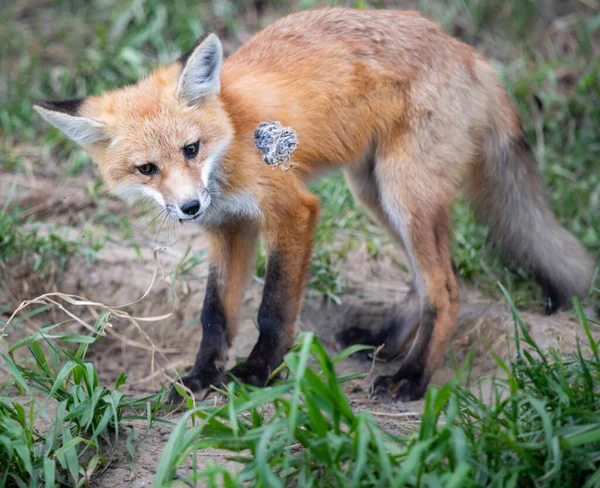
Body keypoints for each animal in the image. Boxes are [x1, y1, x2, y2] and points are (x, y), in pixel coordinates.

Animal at [35, 7, 592, 402]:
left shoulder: (292, 210)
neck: (231, 135)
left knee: (447, 288)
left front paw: (257, 372)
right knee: (427, 278)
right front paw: (200, 377)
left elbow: (273, 309)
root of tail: (471, 54)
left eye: (190, 149)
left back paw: (411, 377)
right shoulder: (229, 229)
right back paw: (386, 344)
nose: (189, 207)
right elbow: (216, 314)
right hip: (374, 193)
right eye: (146, 169)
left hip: (403, 192)